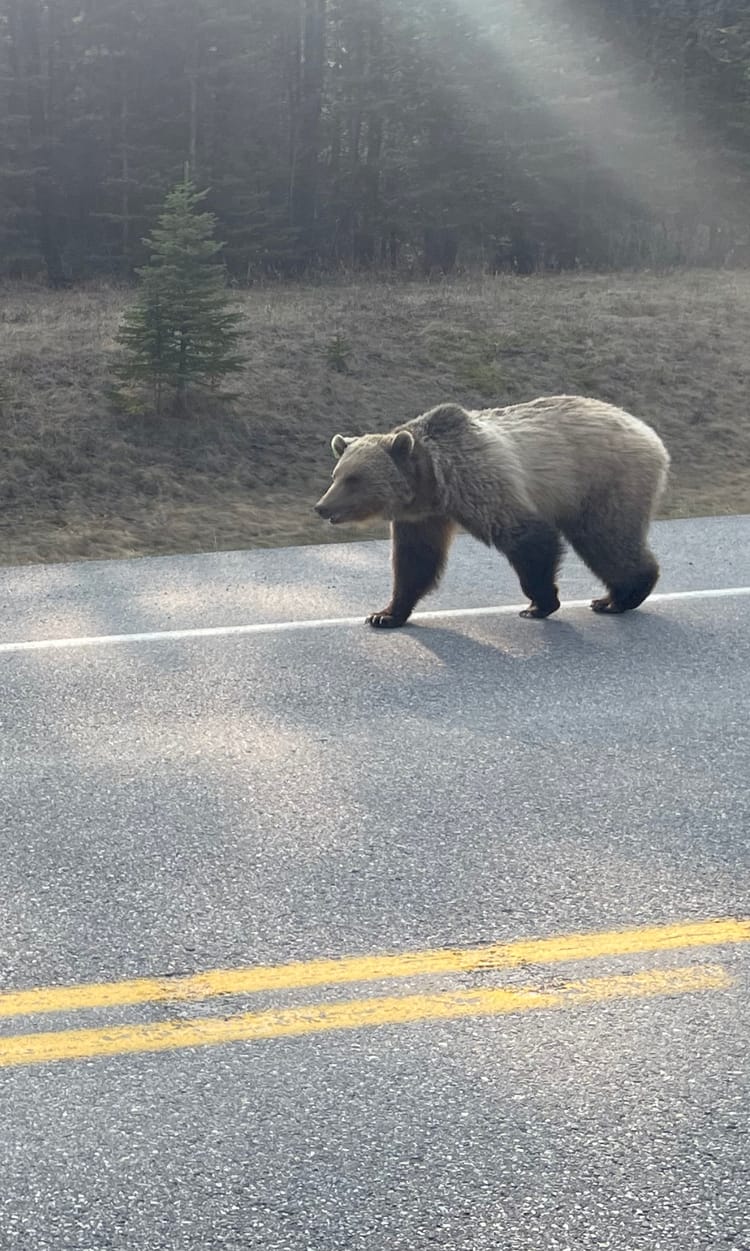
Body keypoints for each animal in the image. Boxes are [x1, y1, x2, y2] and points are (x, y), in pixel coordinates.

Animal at [313, 397, 670, 630]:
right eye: (336, 475)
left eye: (354, 479)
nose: (322, 507)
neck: (430, 483)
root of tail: (649, 432)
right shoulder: (421, 517)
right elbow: (415, 562)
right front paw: (385, 614)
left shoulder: (479, 480)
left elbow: (527, 536)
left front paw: (539, 604)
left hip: (604, 480)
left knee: (607, 538)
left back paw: (620, 596)